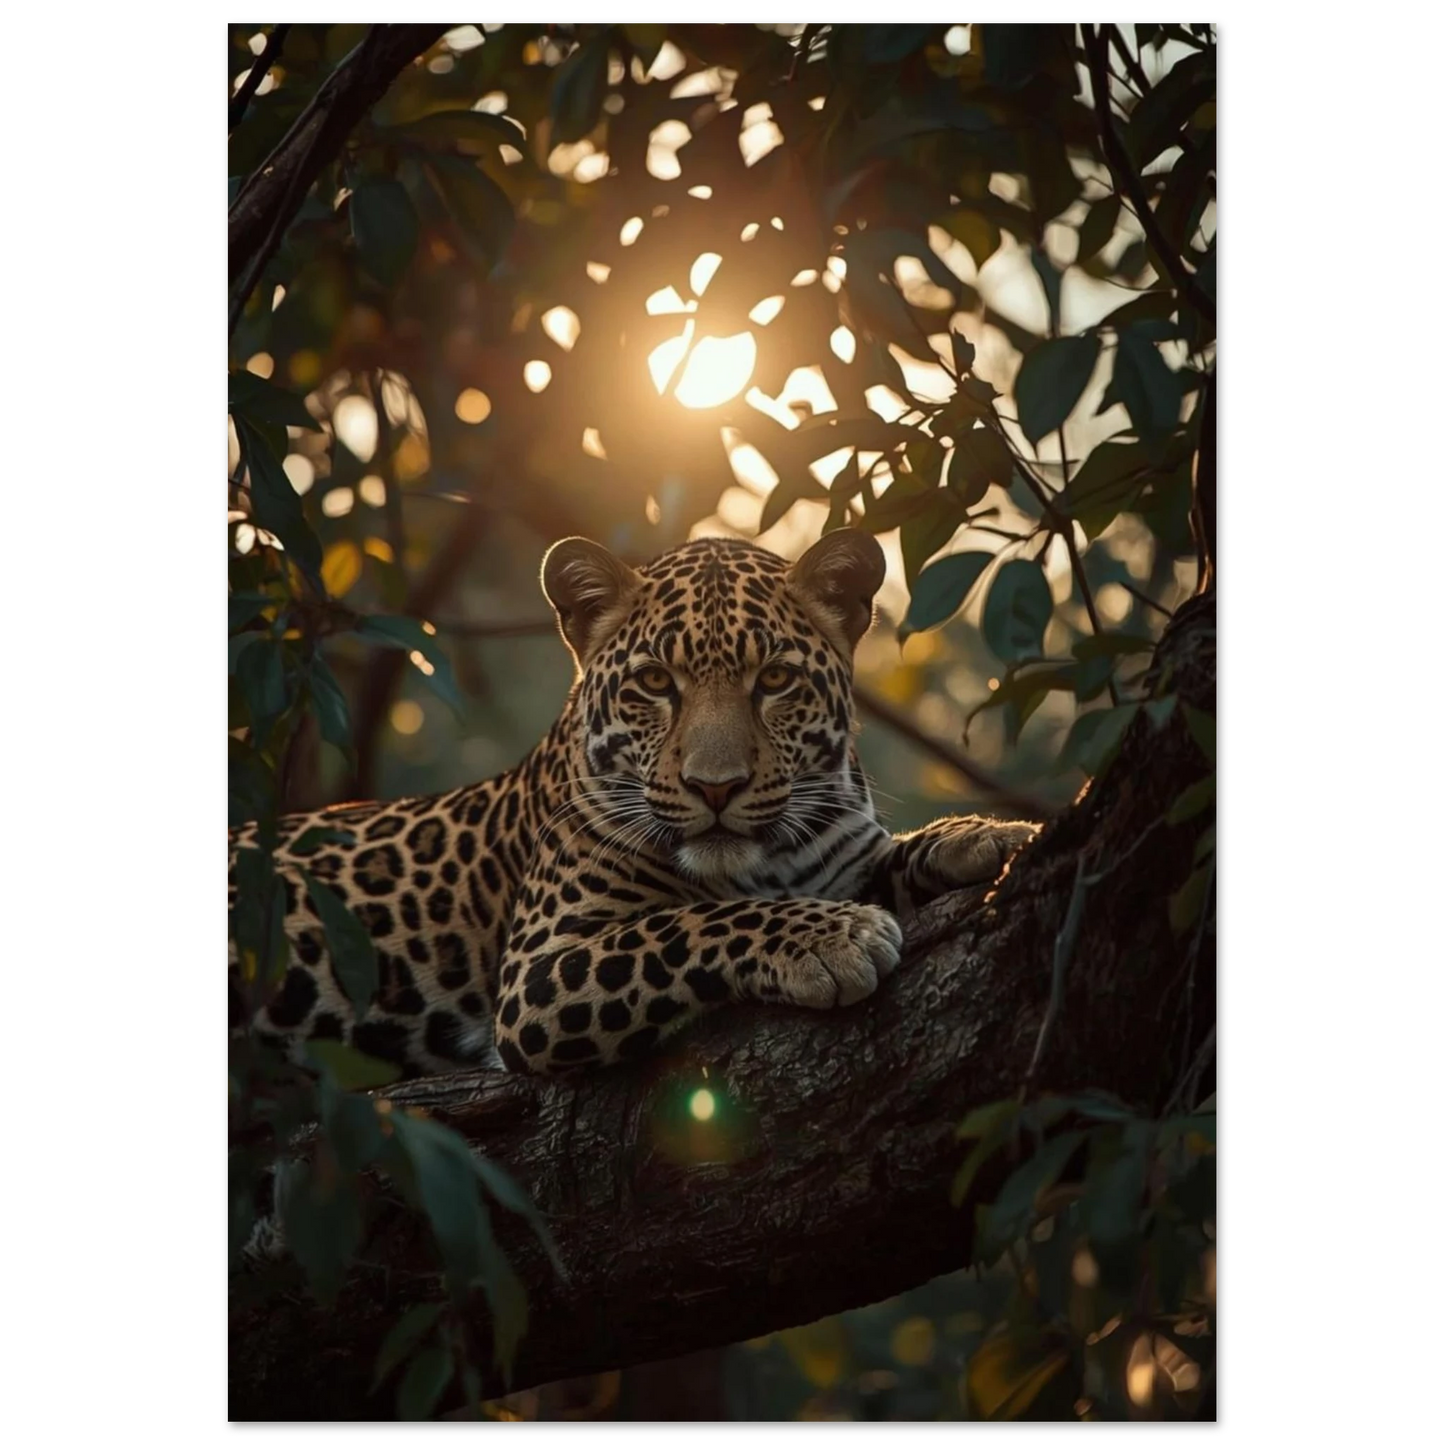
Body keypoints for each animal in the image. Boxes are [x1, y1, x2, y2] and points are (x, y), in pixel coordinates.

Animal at [227, 529, 1040, 1080]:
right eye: (654, 683)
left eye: (775, 679)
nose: (716, 787)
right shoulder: (537, 975)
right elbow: (687, 924)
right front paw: (828, 937)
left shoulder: (844, 857)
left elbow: (890, 856)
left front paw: (988, 836)